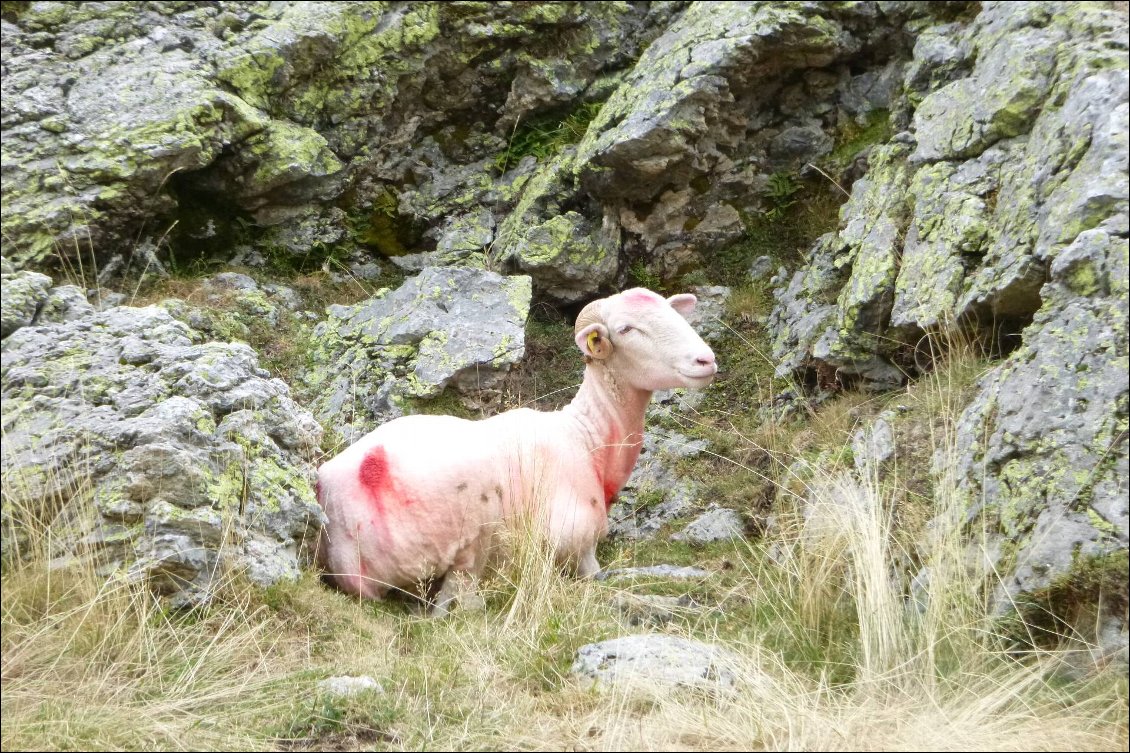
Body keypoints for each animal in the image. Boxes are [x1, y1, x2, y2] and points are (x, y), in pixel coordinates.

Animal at [314, 286, 714, 610]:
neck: (586, 438)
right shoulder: (571, 540)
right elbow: (595, 574)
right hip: (468, 532)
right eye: (627, 329)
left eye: (675, 313)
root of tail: (331, 491)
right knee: (456, 600)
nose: (706, 360)